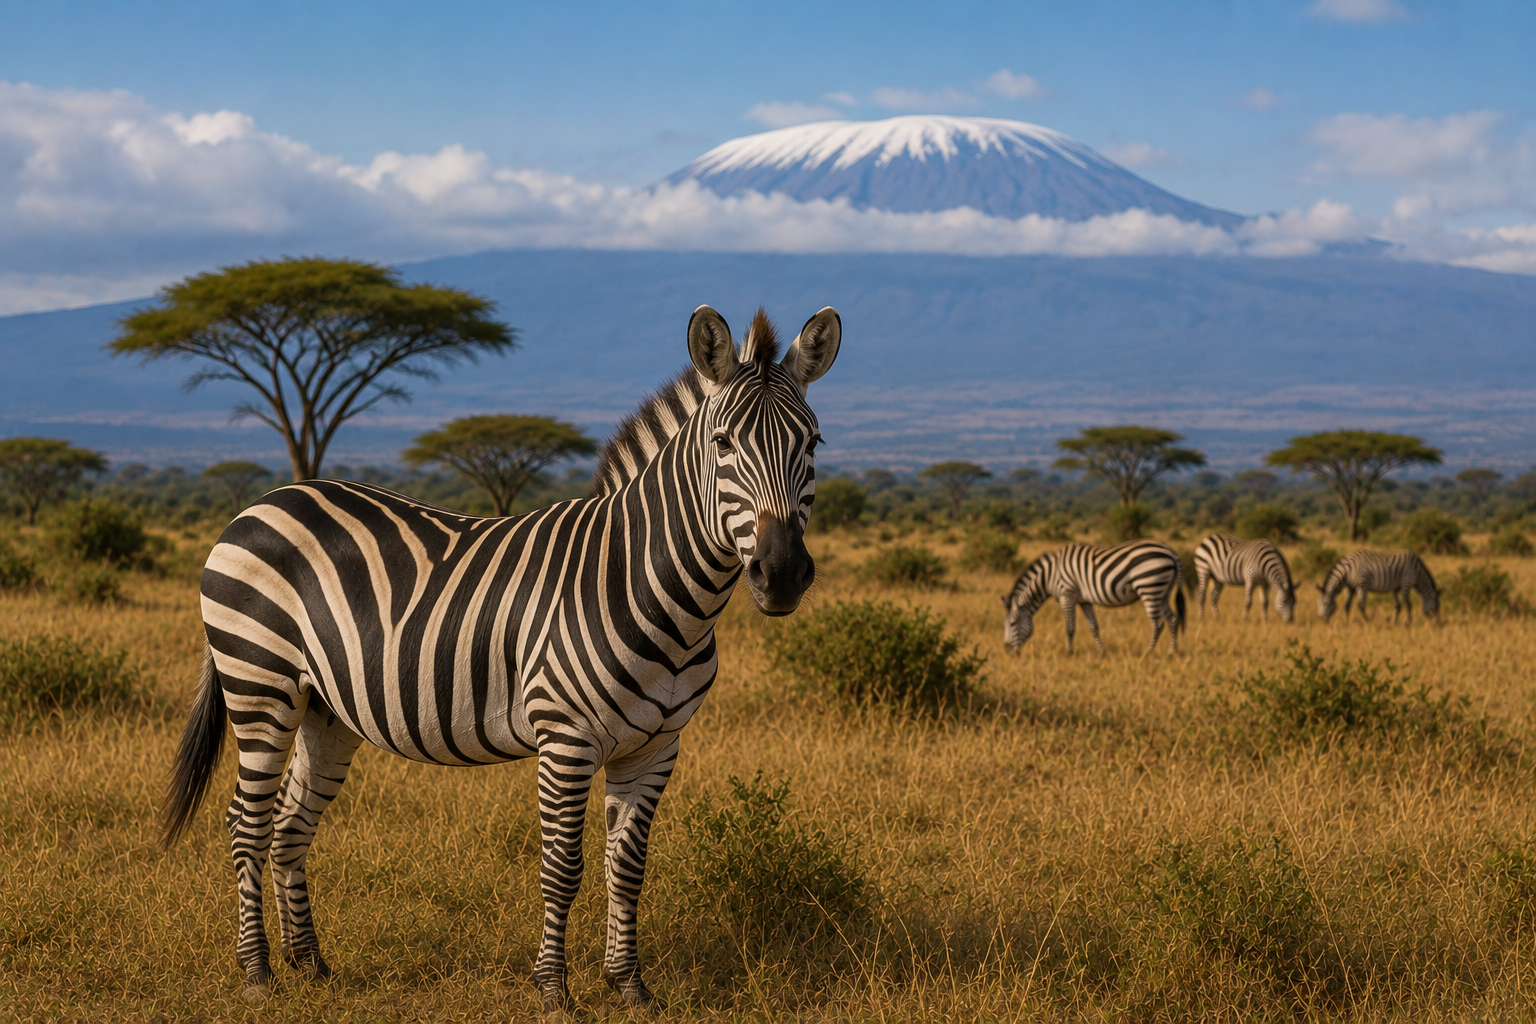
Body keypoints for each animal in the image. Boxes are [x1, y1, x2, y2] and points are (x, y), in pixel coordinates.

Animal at [161, 305, 842, 1013]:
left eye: (814, 444)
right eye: (724, 445)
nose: (782, 574)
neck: (643, 583)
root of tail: (262, 502)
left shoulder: (657, 745)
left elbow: (627, 867)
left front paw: (630, 986)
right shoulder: (566, 737)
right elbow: (563, 866)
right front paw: (554, 991)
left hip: (324, 708)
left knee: (290, 825)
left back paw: (310, 964)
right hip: (259, 685)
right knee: (247, 824)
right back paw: (257, 974)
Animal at [1000, 541, 1186, 654]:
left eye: (1012, 623)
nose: (1007, 650)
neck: (1049, 576)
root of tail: (1171, 551)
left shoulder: (1067, 595)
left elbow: (1069, 627)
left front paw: (1069, 652)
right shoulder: (1084, 600)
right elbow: (1093, 627)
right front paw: (1102, 652)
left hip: (1149, 587)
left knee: (1158, 623)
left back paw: (1149, 652)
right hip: (1162, 591)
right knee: (1172, 619)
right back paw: (1172, 652)